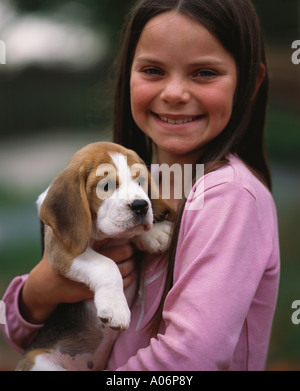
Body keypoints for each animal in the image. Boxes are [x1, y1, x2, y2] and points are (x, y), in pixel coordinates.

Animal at [16, 142, 175, 372]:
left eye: (141, 181)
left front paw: (157, 232)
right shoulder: (61, 250)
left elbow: (132, 234)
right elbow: (106, 265)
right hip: (42, 362)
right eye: (106, 186)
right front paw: (116, 308)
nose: (141, 206)